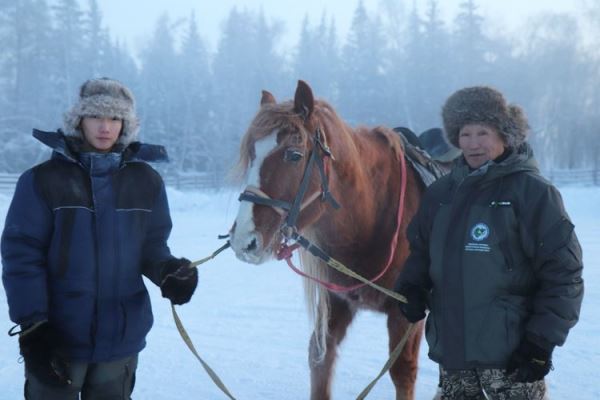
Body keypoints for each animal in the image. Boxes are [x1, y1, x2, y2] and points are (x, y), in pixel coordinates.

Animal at [230, 81, 426, 400]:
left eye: (294, 155)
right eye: (252, 153)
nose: (243, 238)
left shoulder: (407, 314)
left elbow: (402, 371)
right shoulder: (337, 302)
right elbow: (320, 356)